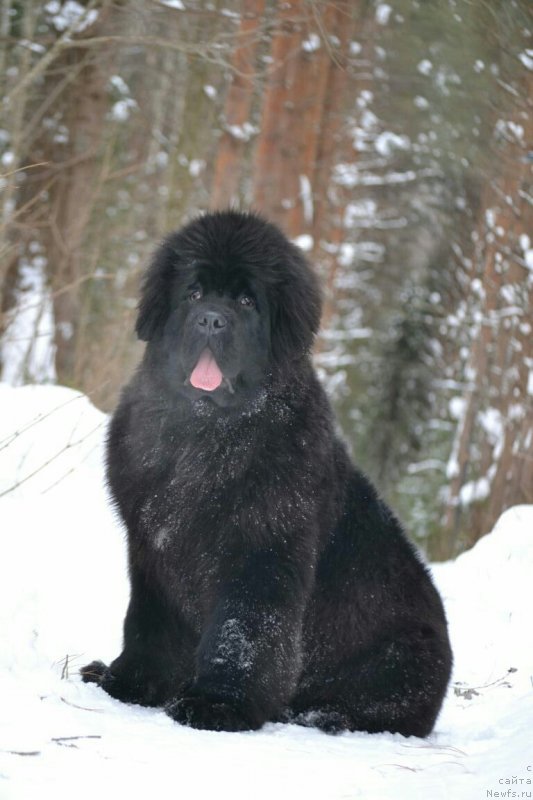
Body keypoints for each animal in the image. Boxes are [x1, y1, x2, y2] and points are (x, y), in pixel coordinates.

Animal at [81, 209, 450, 736]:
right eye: (194, 293)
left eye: (245, 301)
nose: (211, 318)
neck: (207, 436)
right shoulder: (153, 550)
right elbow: (148, 623)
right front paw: (127, 682)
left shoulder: (262, 554)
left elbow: (243, 633)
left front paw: (217, 706)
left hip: (402, 659)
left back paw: (320, 714)